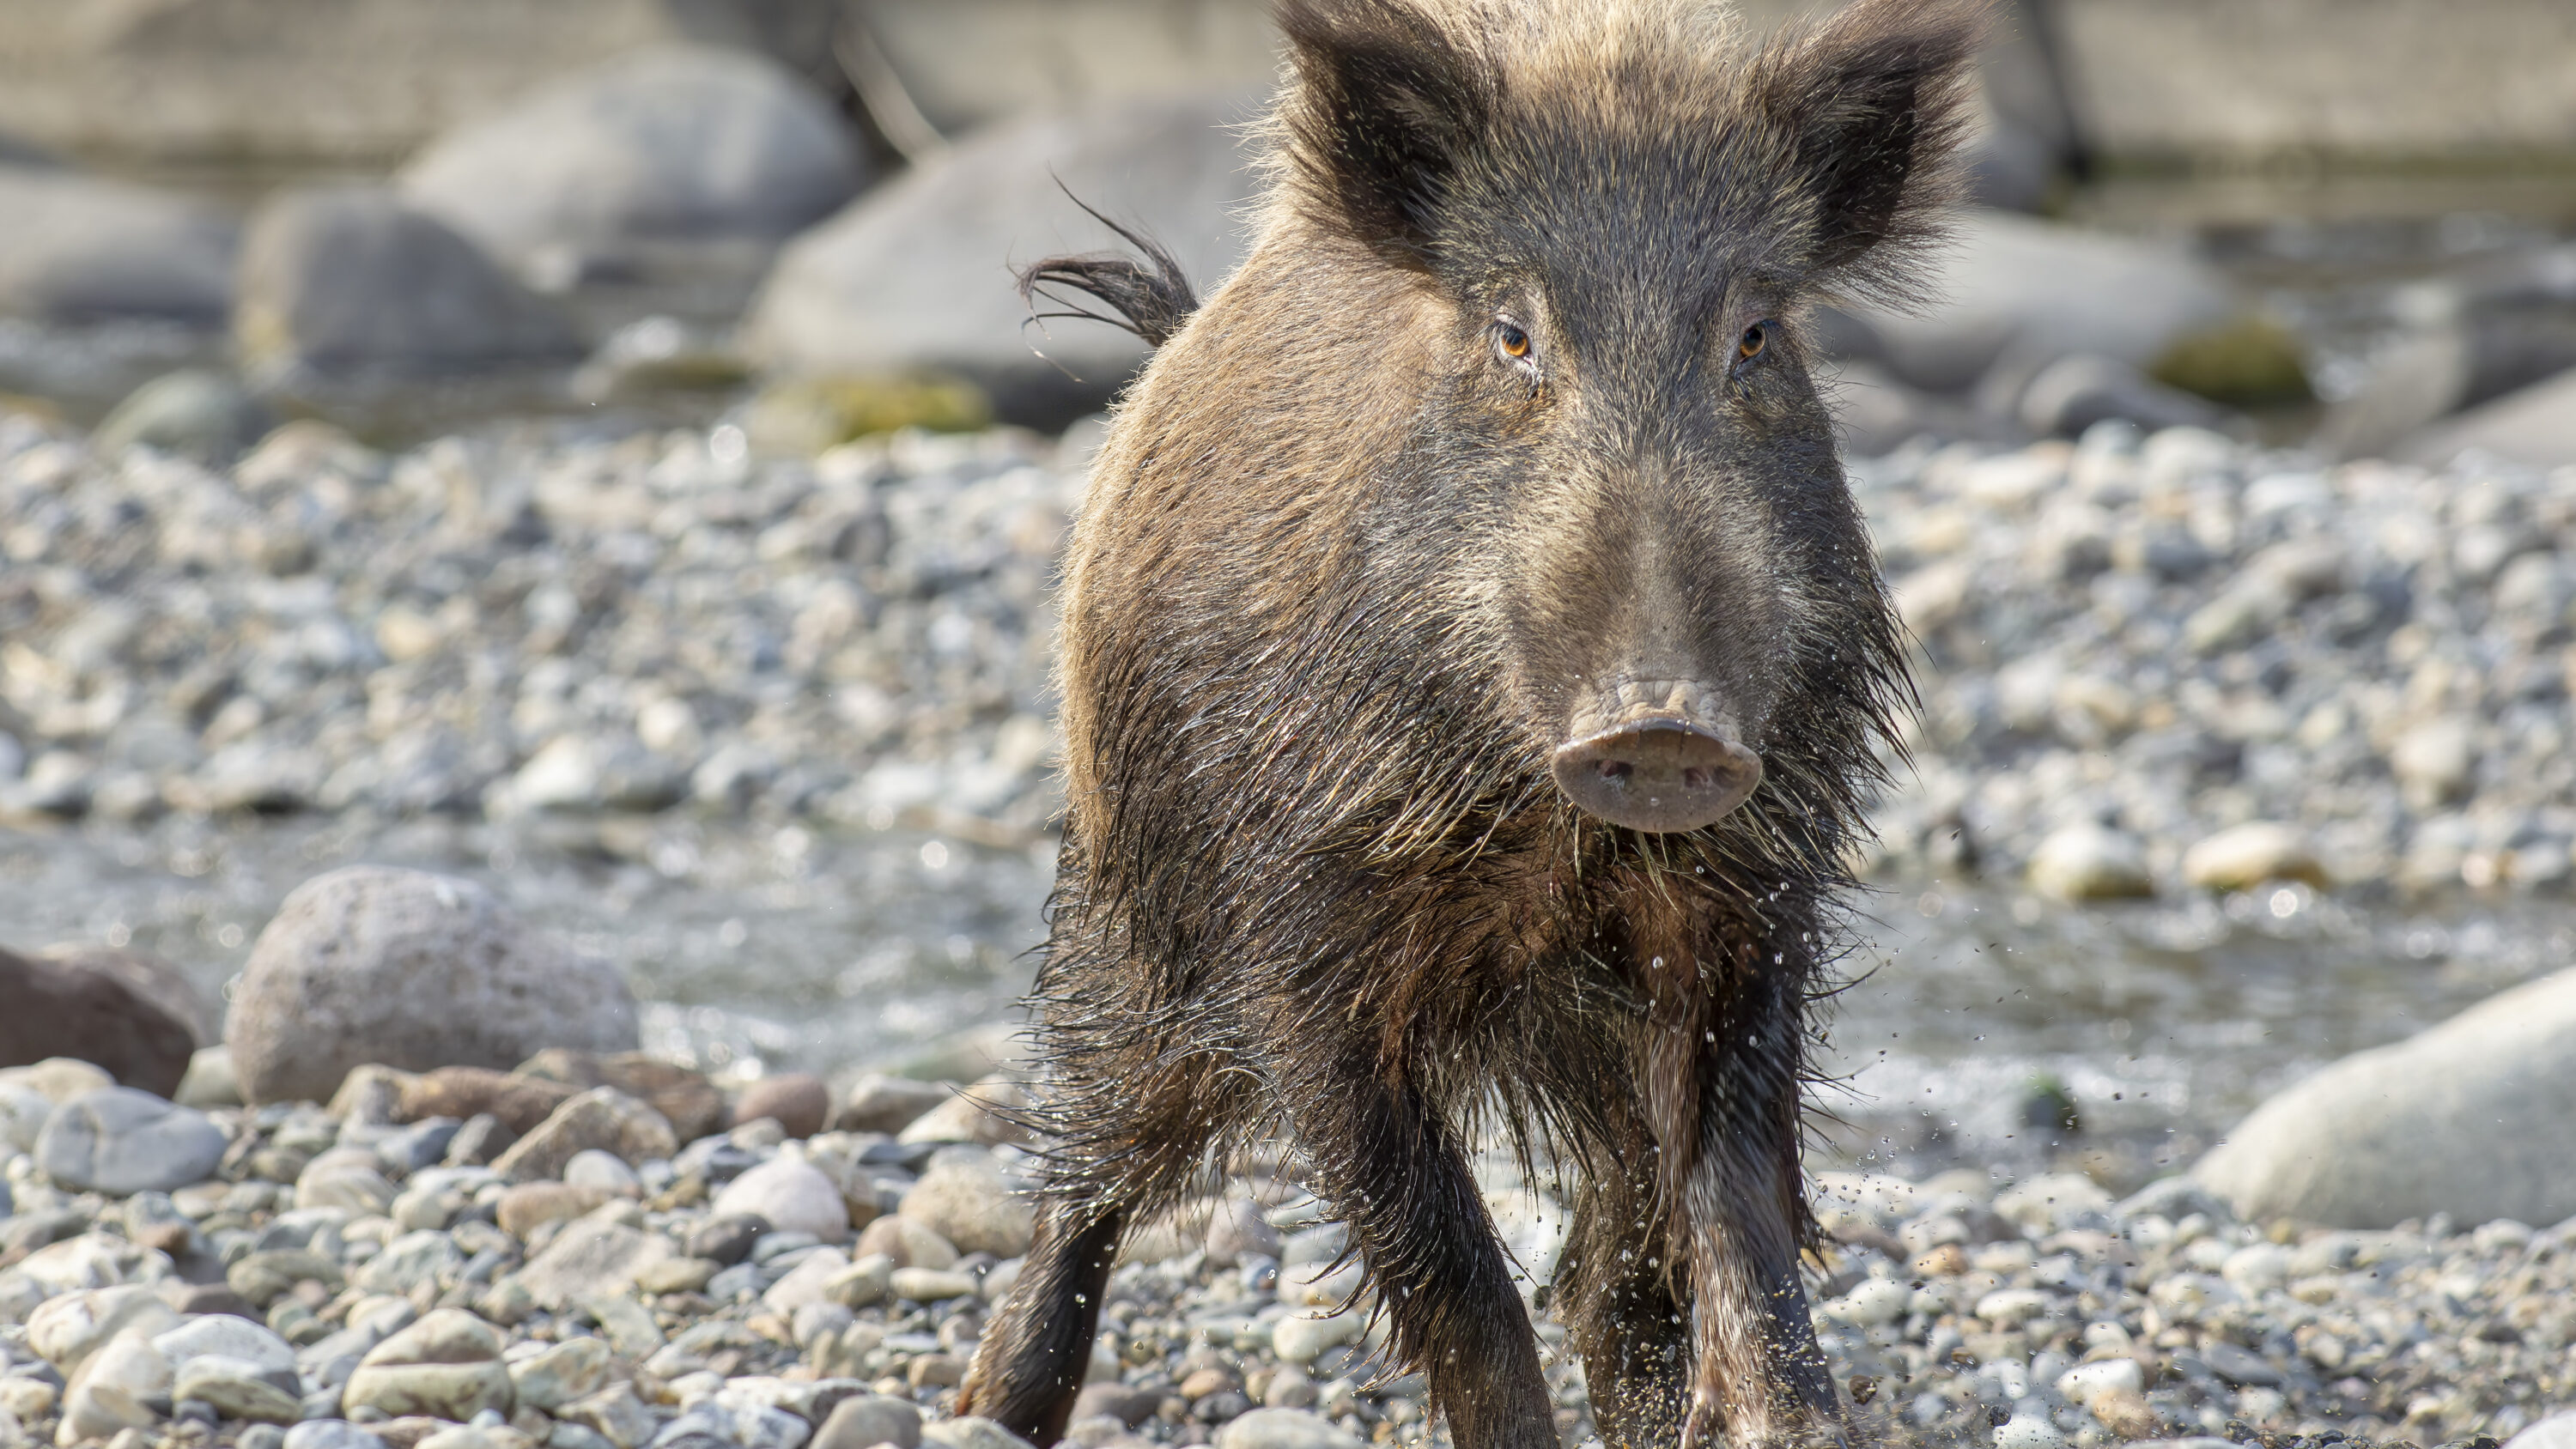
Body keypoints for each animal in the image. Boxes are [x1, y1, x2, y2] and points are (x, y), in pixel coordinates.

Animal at [958, 1, 1982, 1447]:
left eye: (1757, 334)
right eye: (1512, 335)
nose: (1662, 726)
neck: (1553, 849)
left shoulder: (1755, 902)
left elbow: (1738, 1224)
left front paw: (1798, 1421)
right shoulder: (1296, 951)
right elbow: (1451, 1277)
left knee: (1611, 1264)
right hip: (1128, 929)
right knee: (1083, 1171)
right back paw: (989, 1405)